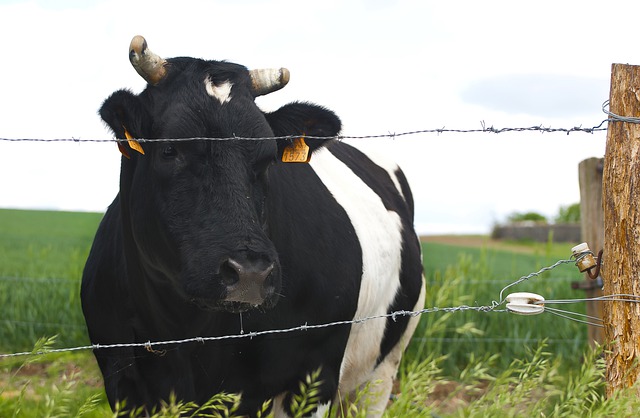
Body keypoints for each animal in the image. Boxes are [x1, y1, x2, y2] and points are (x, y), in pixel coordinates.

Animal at [81, 36, 424, 418]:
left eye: (268, 159)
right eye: (170, 150)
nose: (250, 272)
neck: (186, 332)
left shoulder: (315, 374)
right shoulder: (123, 381)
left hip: (384, 367)